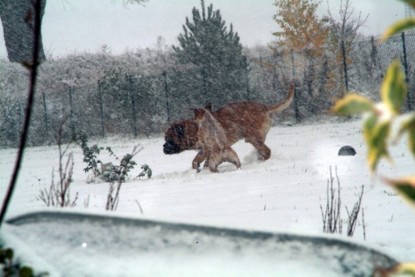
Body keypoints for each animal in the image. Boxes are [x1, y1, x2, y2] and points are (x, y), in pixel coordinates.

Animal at [162, 81, 296, 168]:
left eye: (169, 139)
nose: (164, 147)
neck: (194, 128)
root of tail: (265, 108)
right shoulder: (204, 150)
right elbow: (196, 161)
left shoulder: (207, 149)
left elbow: (202, 160)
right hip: (257, 139)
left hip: (252, 137)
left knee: (266, 151)